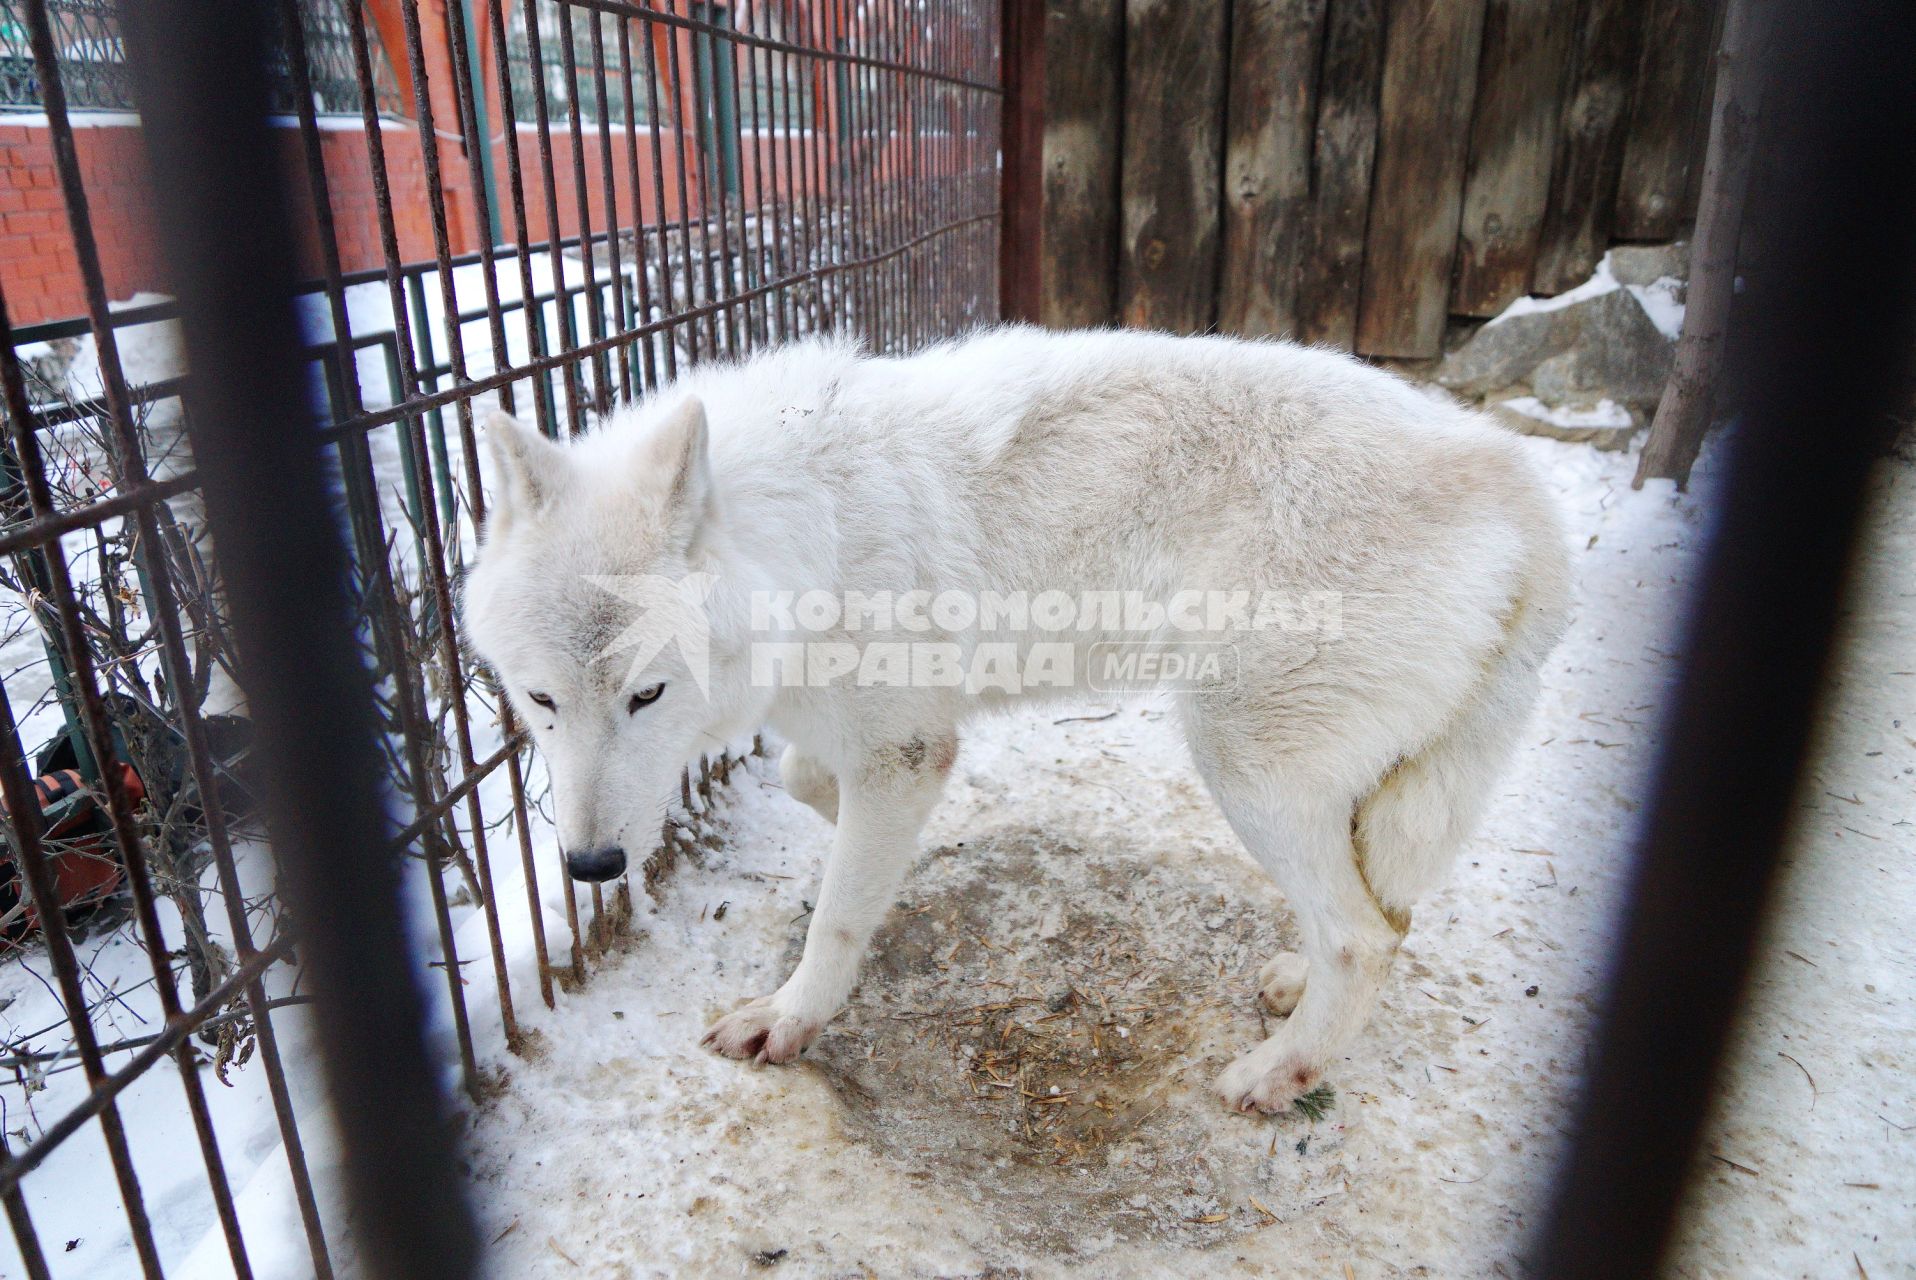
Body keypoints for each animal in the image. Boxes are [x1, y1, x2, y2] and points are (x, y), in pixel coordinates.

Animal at [467, 327, 1571, 1111]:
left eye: (647, 694)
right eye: (541, 700)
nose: (591, 867)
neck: (807, 532)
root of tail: (1514, 475)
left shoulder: (902, 746)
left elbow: (834, 917)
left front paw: (789, 1020)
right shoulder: (880, 738)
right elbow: (806, 784)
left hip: (1239, 762)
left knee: (1364, 938)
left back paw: (1274, 1073)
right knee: (1383, 911)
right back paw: (1292, 987)